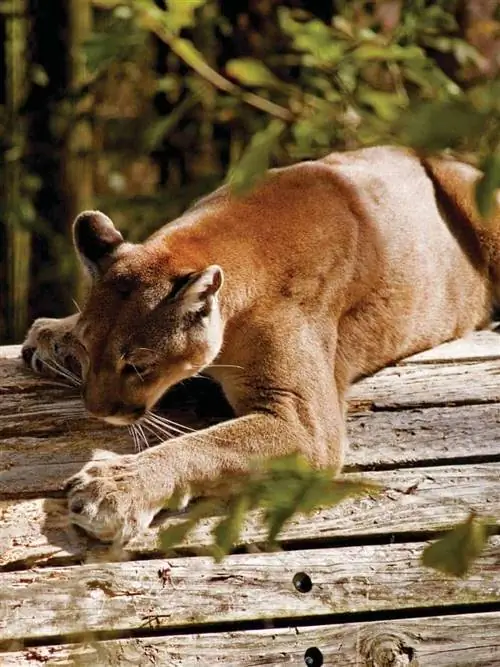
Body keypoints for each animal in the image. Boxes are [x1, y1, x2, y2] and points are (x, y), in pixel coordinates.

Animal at [22, 145, 500, 544]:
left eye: (138, 364)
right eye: (89, 349)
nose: (95, 410)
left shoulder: (302, 421)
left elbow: (208, 445)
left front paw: (116, 488)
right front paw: (54, 334)